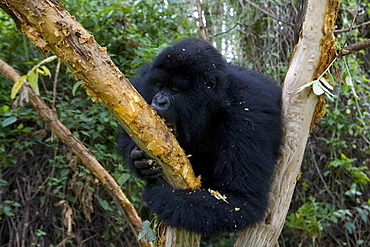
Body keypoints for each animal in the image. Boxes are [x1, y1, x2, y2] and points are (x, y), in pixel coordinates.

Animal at [117, 38, 282, 235]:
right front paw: (140, 160)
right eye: (159, 85)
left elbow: (241, 200)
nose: (159, 101)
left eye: (175, 89)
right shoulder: (143, 83)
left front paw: (163, 195)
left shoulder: (247, 118)